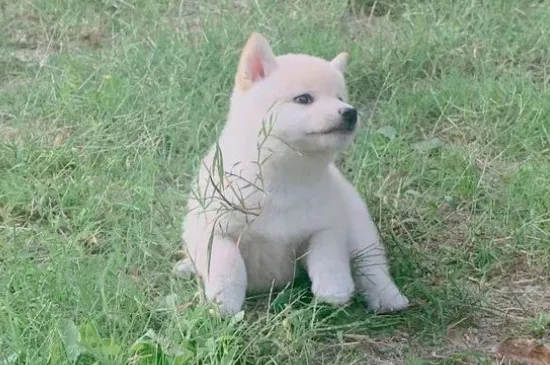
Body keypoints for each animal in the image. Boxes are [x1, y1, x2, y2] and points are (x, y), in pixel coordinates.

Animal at [176, 31, 410, 316]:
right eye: (304, 99)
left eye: (340, 98)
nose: (350, 112)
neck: (284, 179)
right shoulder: (216, 230)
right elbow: (228, 267)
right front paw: (224, 303)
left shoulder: (326, 225)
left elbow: (329, 254)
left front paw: (334, 288)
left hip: (360, 228)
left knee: (371, 267)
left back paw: (388, 297)